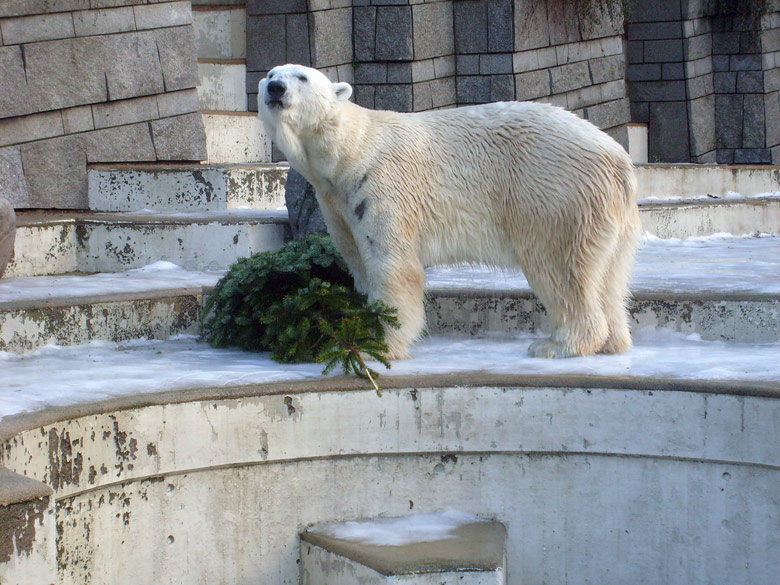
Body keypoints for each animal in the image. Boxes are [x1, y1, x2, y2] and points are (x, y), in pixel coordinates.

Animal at [258, 64, 640, 361]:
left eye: (302, 77)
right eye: (271, 74)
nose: (275, 88)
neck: (349, 152)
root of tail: (618, 158)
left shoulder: (381, 183)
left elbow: (393, 265)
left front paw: (379, 344)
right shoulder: (337, 202)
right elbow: (358, 262)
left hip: (555, 194)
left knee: (558, 266)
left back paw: (558, 345)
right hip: (609, 212)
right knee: (609, 276)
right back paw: (614, 340)